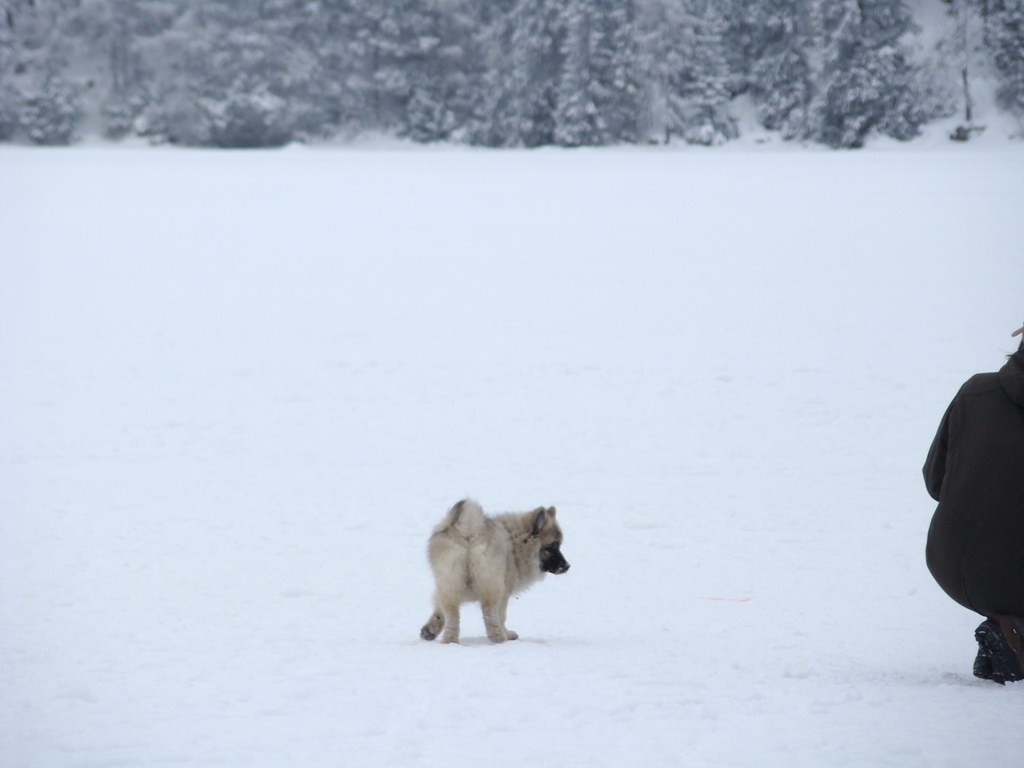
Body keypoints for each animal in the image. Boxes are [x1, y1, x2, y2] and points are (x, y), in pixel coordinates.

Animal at [419, 499, 573, 643]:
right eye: (551, 547)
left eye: (558, 546)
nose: (566, 566)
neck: (516, 546)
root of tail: (470, 531)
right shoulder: (505, 592)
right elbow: (502, 616)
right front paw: (507, 633)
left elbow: (439, 612)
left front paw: (429, 630)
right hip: (492, 584)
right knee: (490, 613)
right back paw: (498, 637)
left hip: (450, 581)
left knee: (452, 615)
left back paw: (450, 640)